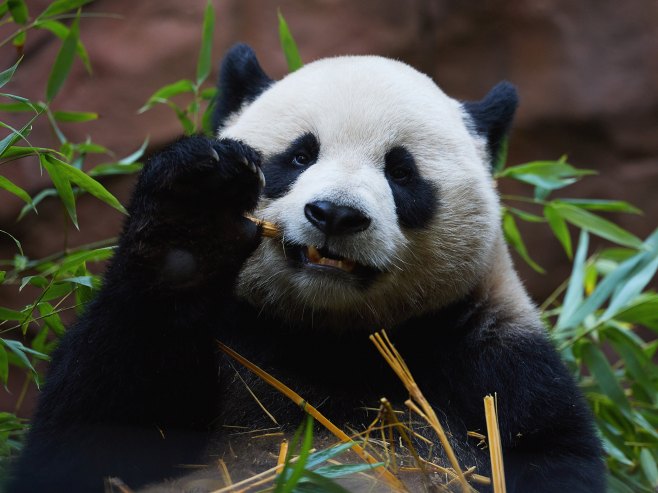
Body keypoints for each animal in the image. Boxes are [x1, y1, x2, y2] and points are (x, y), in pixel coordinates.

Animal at [11, 44, 604, 490]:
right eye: (300, 155)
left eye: (401, 172)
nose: (336, 214)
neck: (329, 337)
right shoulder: (227, 341)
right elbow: (90, 442)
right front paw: (193, 218)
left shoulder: (496, 367)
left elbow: (546, 450)